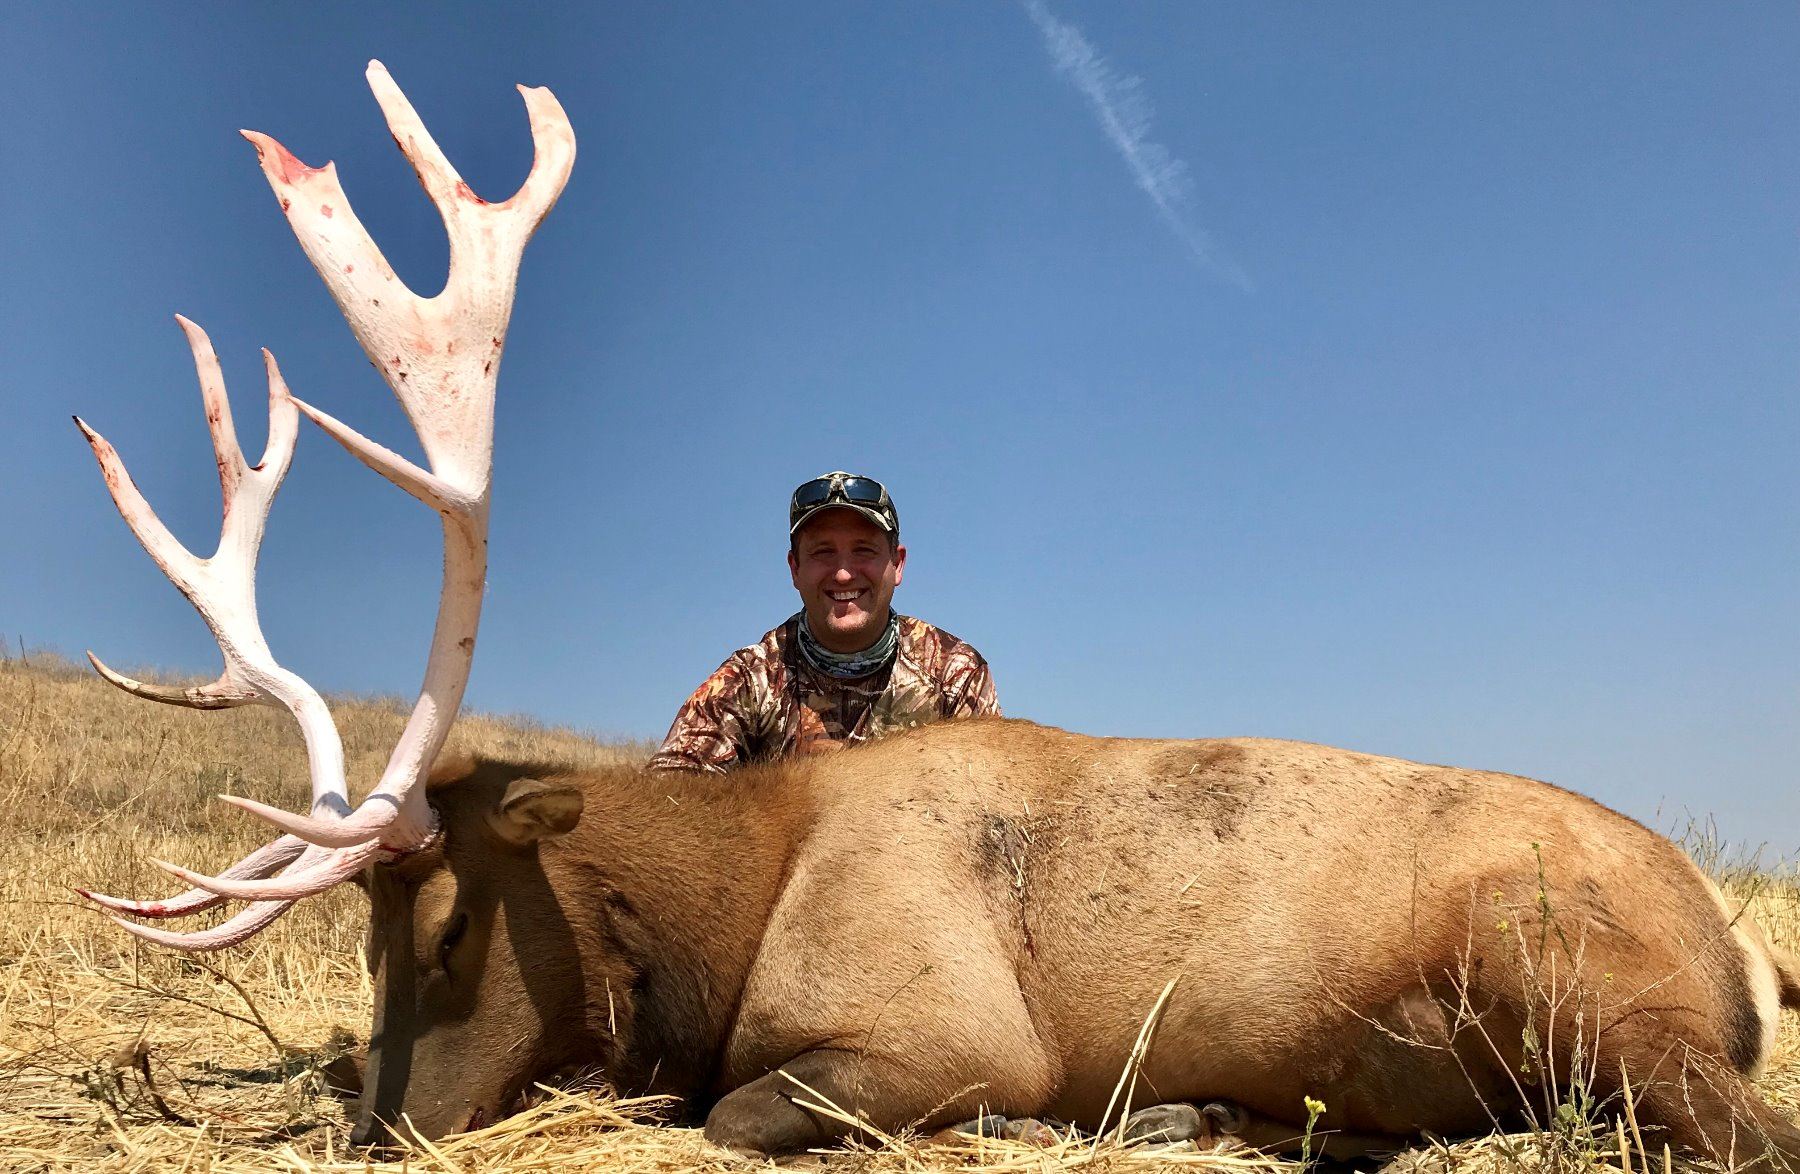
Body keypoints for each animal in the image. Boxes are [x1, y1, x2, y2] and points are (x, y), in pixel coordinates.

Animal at [76, 66, 1800, 1166]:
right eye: (366, 937)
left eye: (446, 930)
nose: (382, 1133)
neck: (733, 908)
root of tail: (1742, 954)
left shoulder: (941, 1029)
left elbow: (730, 1111)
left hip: (1586, 984)